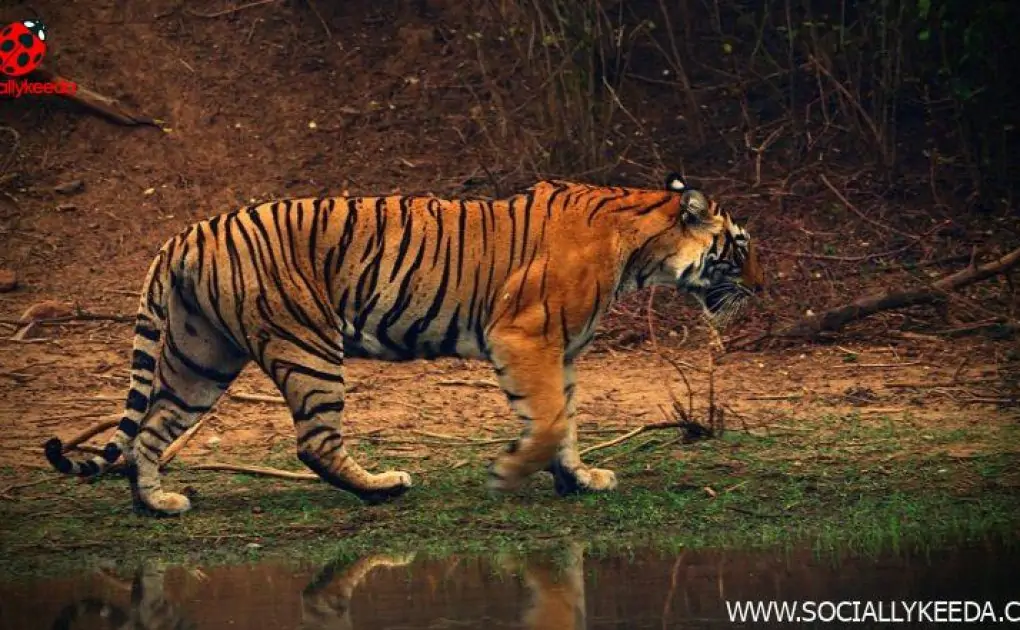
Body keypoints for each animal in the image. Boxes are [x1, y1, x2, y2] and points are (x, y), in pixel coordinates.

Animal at [44, 173, 763, 515]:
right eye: (741, 246)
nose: (760, 289)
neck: (642, 249)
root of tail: (185, 233)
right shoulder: (523, 335)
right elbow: (550, 420)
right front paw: (510, 474)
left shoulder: (561, 352)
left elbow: (564, 422)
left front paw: (579, 478)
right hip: (306, 345)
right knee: (314, 443)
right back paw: (383, 487)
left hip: (202, 355)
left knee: (150, 432)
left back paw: (158, 504)